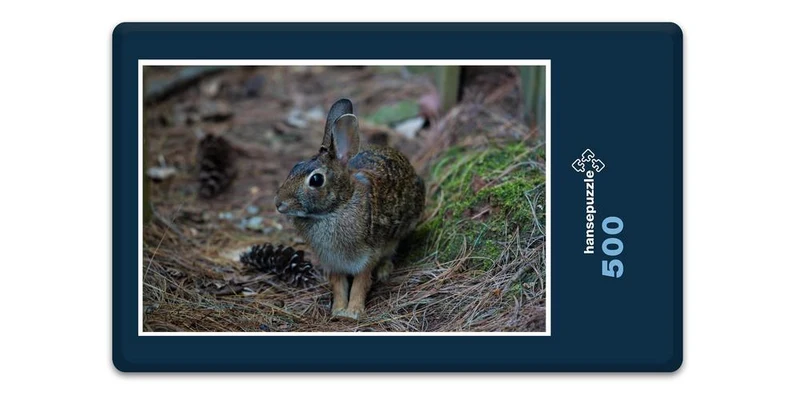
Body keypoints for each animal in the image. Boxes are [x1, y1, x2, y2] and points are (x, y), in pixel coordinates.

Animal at [275, 99, 426, 320]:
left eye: (316, 180)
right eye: (295, 166)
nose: (279, 203)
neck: (337, 208)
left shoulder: (367, 255)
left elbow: (360, 283)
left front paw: (353, 312)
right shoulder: (333, 262)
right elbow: (339, 285)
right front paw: (338, 310)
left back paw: (384, 271)